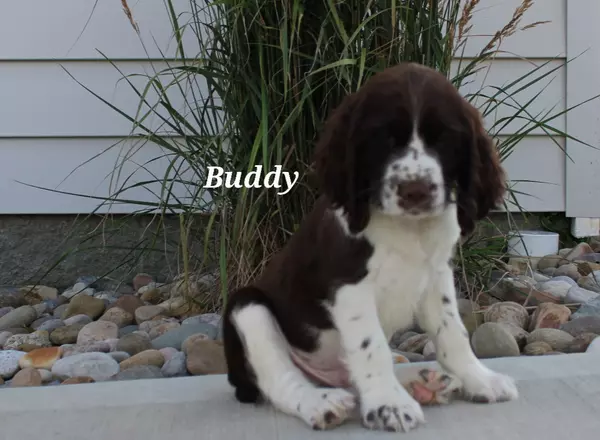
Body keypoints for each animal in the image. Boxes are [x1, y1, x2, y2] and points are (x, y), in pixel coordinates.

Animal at [223, 62, 516, 434]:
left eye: (444, 139)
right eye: (384, 138)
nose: (415, 190)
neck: (409, 229)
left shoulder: (437, 277)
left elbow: (453, 332)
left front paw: (480, 379)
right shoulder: (349, 285)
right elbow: (371, 345)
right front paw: (389, 405)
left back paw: (423, 381)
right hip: (247, 306)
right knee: (278, 379)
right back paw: (321, 403)